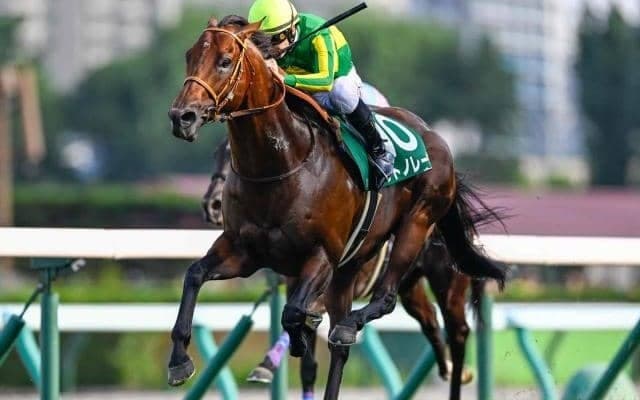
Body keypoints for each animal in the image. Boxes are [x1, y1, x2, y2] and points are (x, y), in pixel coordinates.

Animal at [201, 138, 487, 400]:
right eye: (216, 154)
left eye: (233, 155)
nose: (212, 205)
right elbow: (307, 363)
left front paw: (266, 366)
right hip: (410, 286)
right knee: (429, 319)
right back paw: (447, 367)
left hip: (447, 281)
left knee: (458, 331)